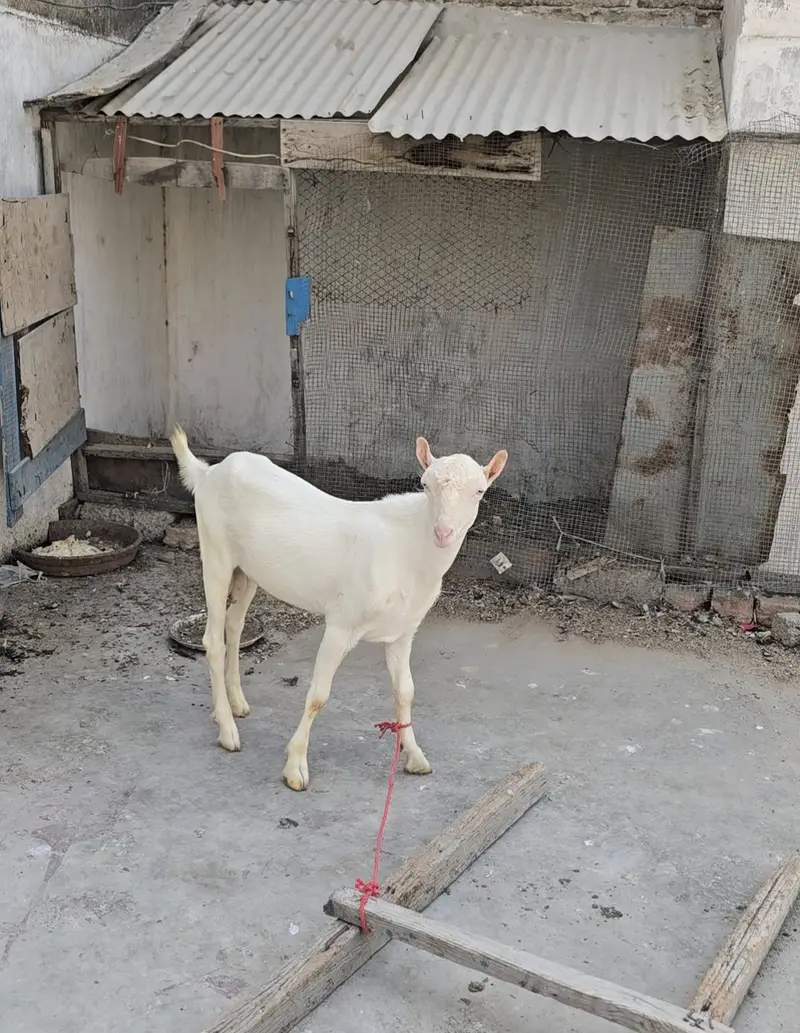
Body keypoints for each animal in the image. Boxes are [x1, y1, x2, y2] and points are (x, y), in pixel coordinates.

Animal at [170, 427, 508, 791]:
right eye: (425, 485)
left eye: (479, 491)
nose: (443, 532)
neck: (407, 549)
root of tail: (208, 474)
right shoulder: (342, 623)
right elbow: (318, 695)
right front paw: (295, 767)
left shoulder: (403, 632)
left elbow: (405, 691)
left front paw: (415, 756)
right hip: (215, 554)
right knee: (212, 639)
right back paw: (227, 730)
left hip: (248, 571)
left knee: (234, 625)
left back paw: (236, 705)